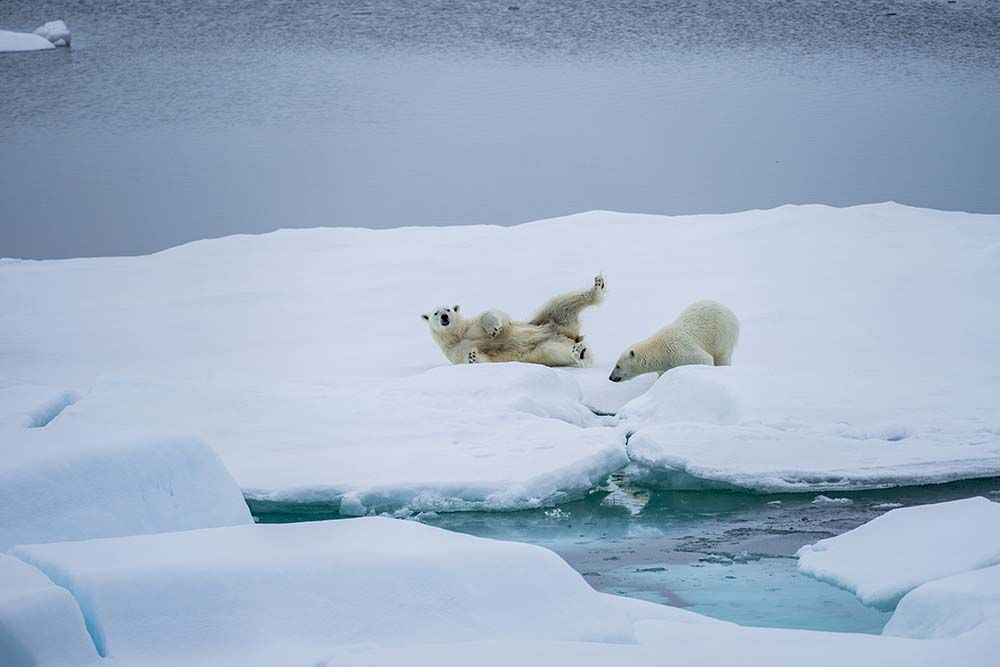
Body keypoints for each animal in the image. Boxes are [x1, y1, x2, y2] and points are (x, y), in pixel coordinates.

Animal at [420, 278, 604, 370]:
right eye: (436, 313)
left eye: (448, 309)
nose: (444, 316)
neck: (457, 335)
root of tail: (571, 335)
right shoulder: (455, 353)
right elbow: (482, 360)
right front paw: (472, 356)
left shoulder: (471, 326)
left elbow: (495, 315)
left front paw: (493, 329)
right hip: (542, 349)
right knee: (555, 350)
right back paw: (580, 354)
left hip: (544, 321)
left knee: (561, 304)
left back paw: (597, 287)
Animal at [604, 302, 740, 384]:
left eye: (617, 365)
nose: (610, 377)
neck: (660, 351)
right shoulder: (665, 364)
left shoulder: (680, 350)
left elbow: (704, 359)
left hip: (723, 333)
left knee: (722, 355)